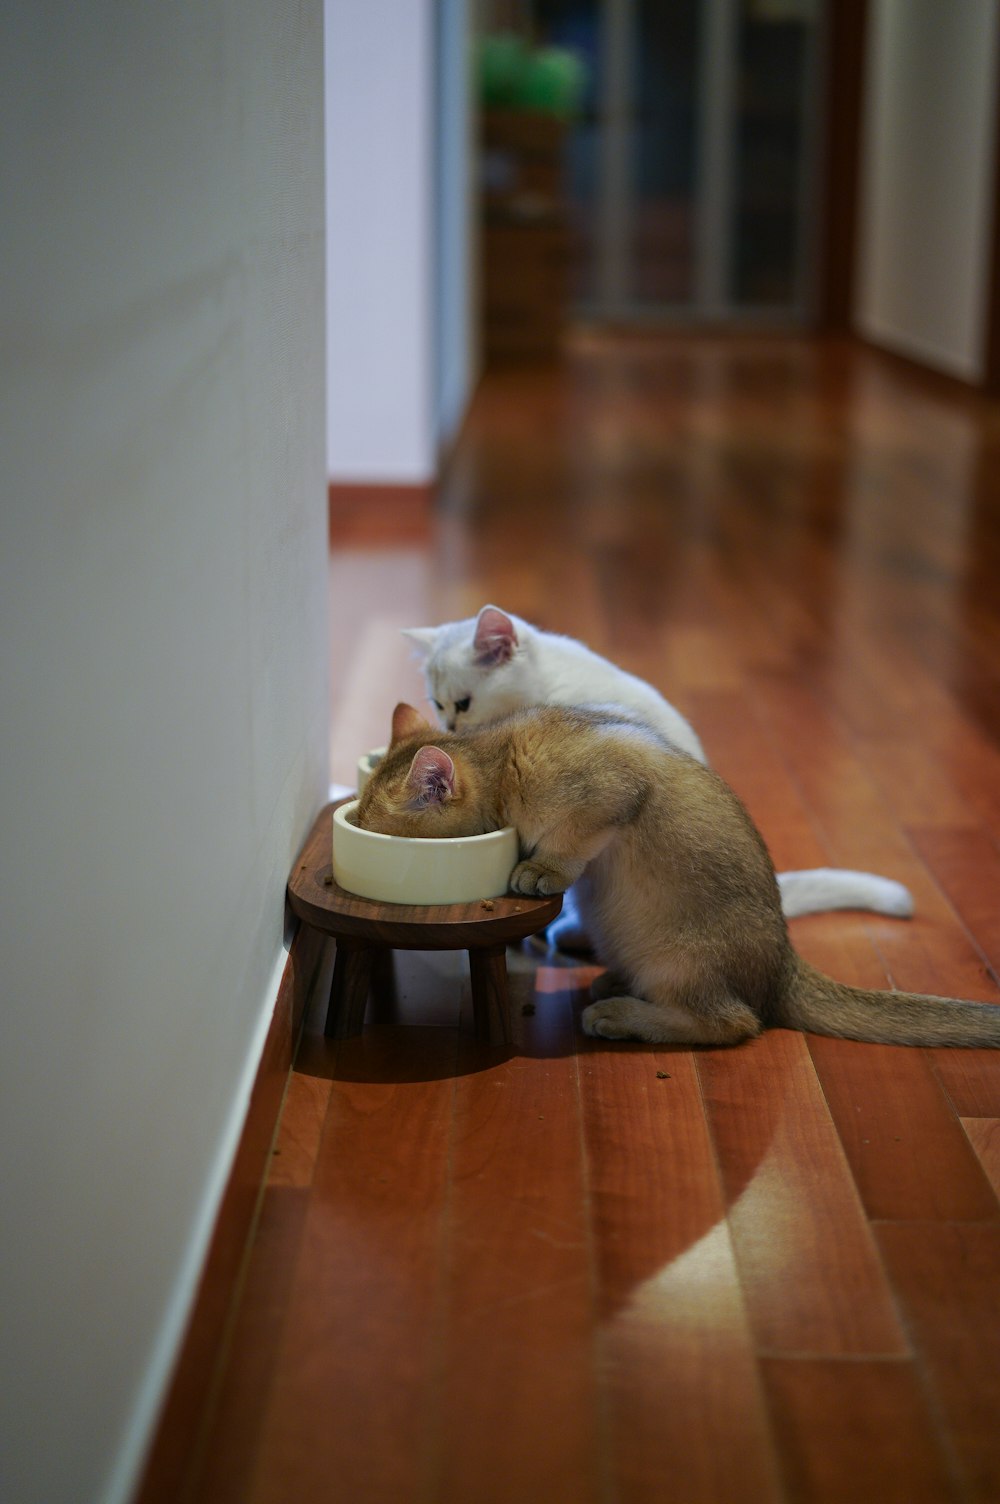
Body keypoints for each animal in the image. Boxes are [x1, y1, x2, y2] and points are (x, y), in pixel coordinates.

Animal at [354, 706, 992, 1046]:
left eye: (369, 825)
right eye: (355, 814)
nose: (353, 825)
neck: (502, 753)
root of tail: (784, 964)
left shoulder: (615, 784)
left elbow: (572, 839)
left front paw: (540, 868)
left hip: (682, 956)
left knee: (735, 1022)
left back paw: (621, 1015)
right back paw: (615, 985)